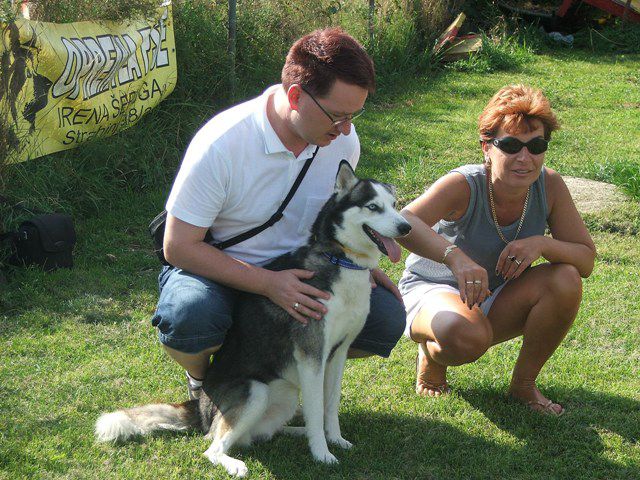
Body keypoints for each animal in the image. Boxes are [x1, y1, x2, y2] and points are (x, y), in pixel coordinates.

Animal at [97, 161, 412, 476]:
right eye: (373, 207)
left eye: (394, 205)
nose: (406, 227)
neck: (340, 260)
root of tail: (200, 408)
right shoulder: (311, 356)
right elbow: (316, 406)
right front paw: (322, 453)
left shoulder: (338, 353)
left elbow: (329, 405)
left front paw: (334, 438)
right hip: (255, 391)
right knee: (213, 447)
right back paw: (238, 462)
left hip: (285, 395)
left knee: (265, 432)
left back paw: (299, 431)